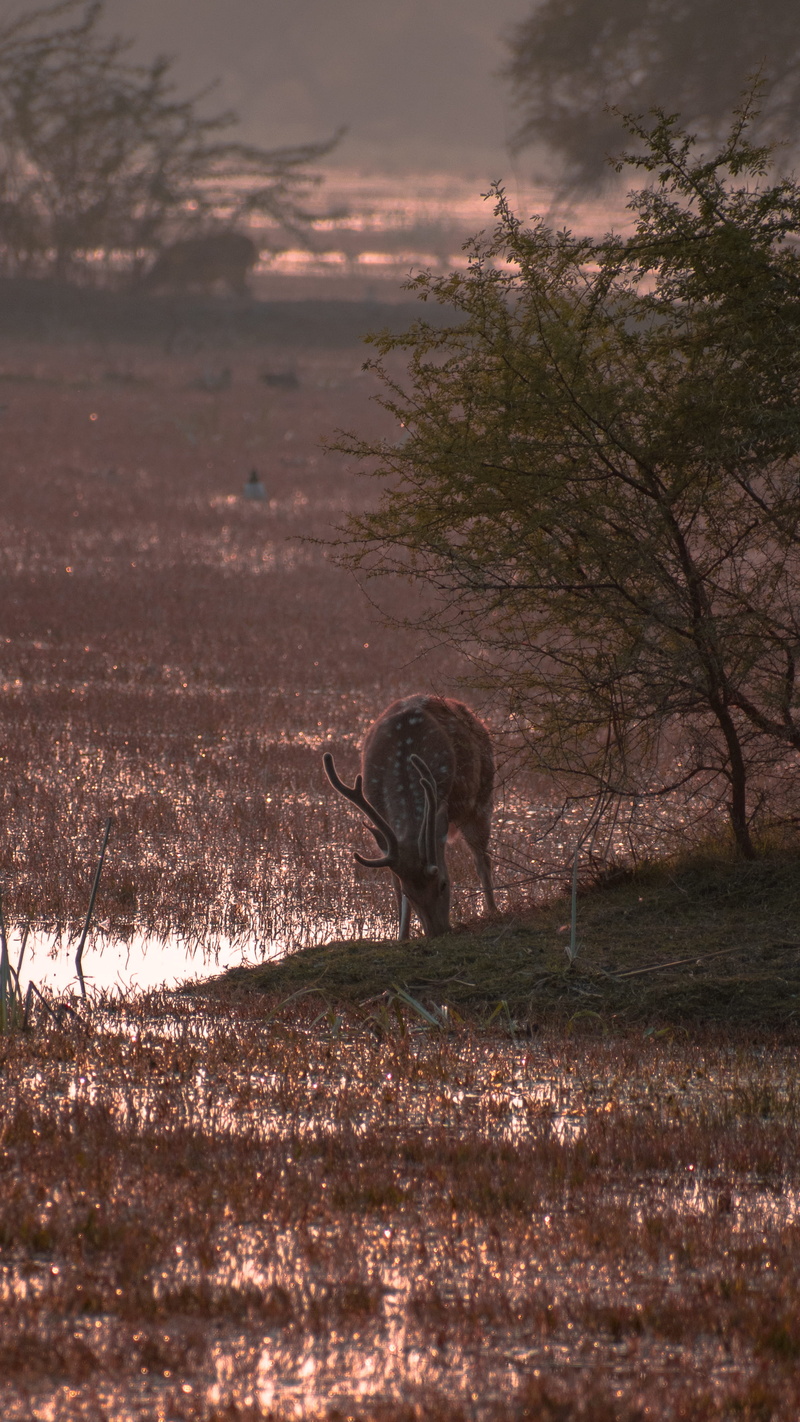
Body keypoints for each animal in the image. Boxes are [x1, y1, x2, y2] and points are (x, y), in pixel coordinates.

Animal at [323, 695, 496, 939]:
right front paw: (401, 935)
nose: (437, 932)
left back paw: (493, 910)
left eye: (444, 883)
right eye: (409, 894)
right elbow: (394, 882)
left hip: (482, 799)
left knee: (482, 859)